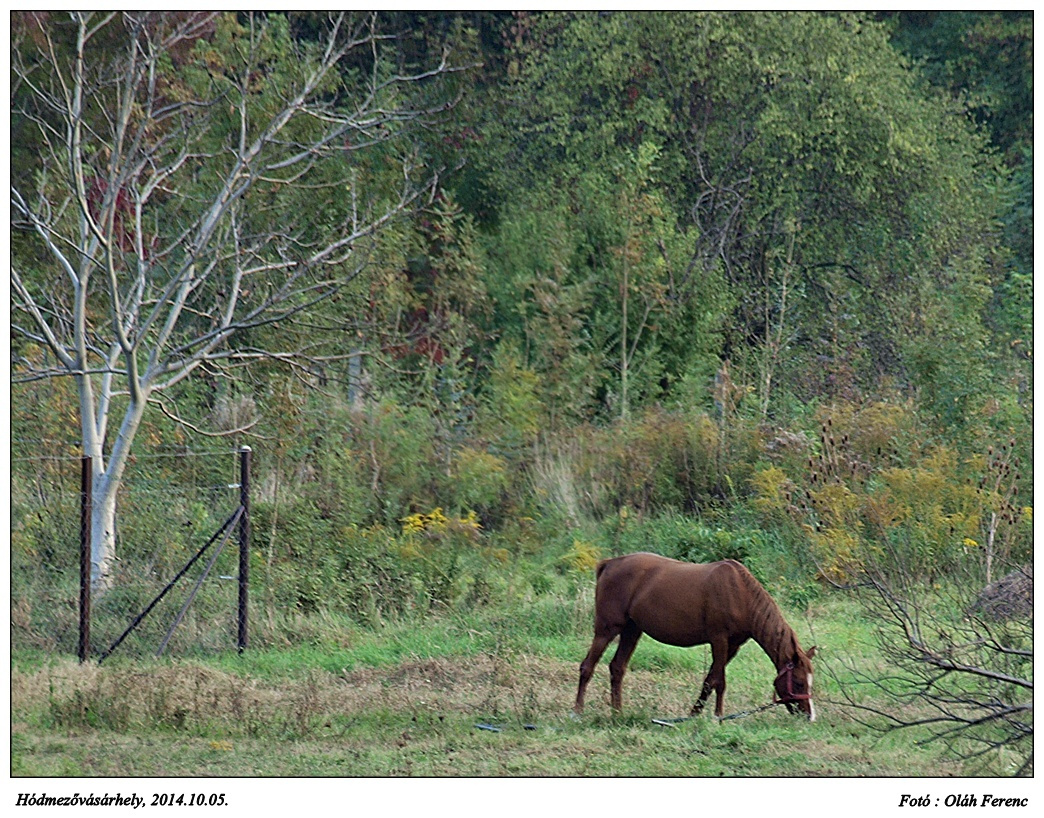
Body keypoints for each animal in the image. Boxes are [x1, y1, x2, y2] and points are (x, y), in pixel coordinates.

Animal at [580, 550, 814, 717]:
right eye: (799, 682)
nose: (809, 716)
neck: (740, 593)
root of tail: (610, 564)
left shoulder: (733, 646)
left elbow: (710, 680)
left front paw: (694, 715)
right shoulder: (719, 640)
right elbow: (720, 681)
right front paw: (718, 717)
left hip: (631, 631)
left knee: (617, 668)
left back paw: (617, 713)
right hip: (607, 630)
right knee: (587, 666)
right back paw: (578, 712)